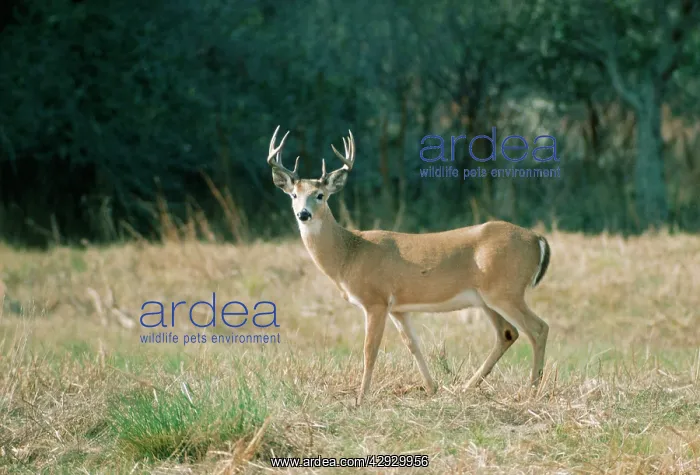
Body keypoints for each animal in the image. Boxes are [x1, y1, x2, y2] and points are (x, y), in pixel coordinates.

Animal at [266, 126, 551, 405]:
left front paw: (360, 398)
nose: (303, 214)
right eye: (294, 194)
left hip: (505, 291)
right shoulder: (398, 308)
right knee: (508, 333)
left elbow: (370, 349)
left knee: (538, 328)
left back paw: (531, 390)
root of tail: (536, 238)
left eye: (320, 195)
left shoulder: (376, 300)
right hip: (486, 298)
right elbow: (412, 345)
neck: (348, 255)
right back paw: (466, 388)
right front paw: (431, 388)